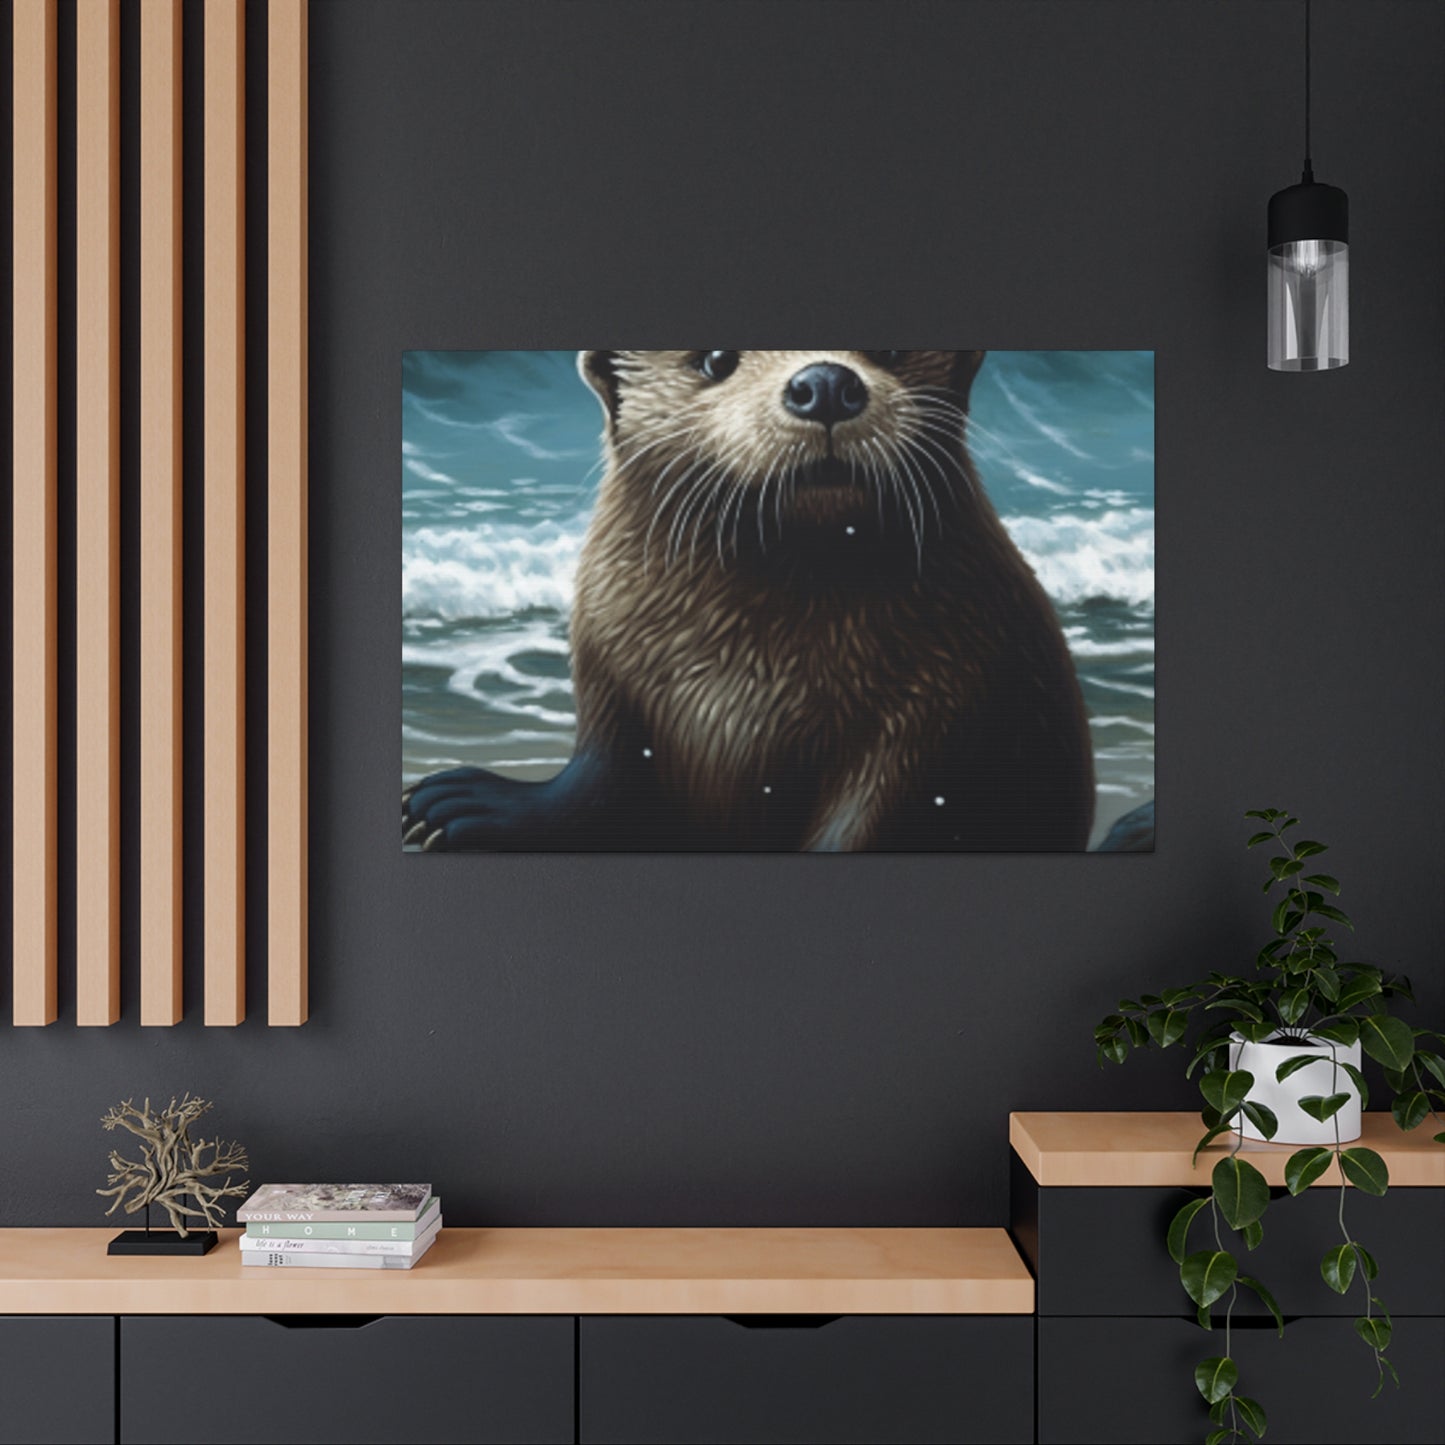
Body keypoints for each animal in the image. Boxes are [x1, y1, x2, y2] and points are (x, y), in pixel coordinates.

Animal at [403, 350, 1095, 851]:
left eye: (892, 350)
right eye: (716, 359)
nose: (825, 382)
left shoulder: (940, 712)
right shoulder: (615, 682)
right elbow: (597, 784)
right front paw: (459, 805)